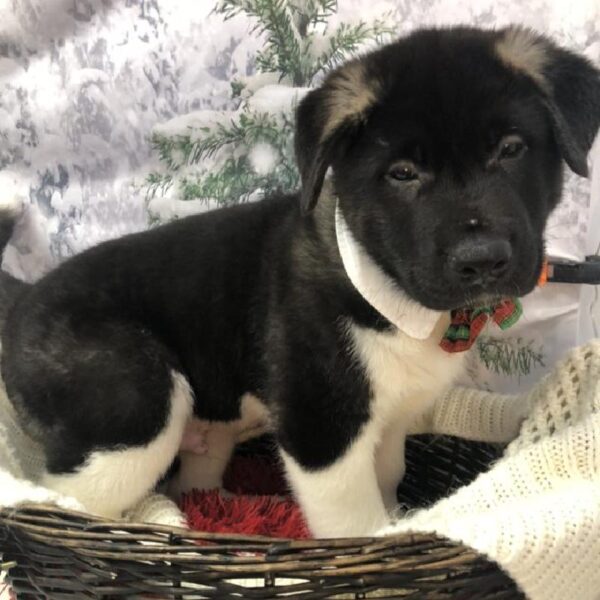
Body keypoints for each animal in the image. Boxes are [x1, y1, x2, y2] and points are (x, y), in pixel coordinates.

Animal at [1, 25, 600, 536]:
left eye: (512, 149)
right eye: (402, 174)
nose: (482, 261)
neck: (383, 290)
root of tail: (25, 299)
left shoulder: (388, 422)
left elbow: (388, 478)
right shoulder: (323, 430)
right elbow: (357, 524)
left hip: (205, 428)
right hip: (132, 413)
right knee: (65, 495)